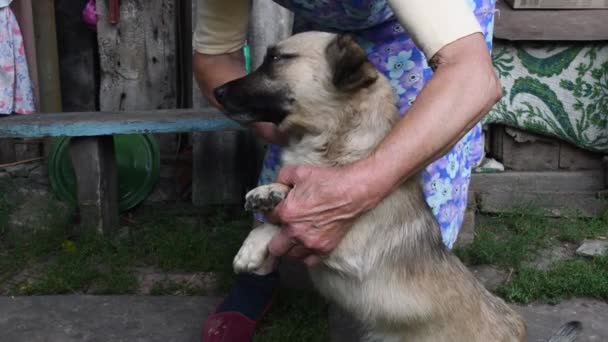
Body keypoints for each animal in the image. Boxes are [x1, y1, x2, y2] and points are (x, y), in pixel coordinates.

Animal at [213, 30, 580, 340]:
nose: (216, 92)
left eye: (276, 59)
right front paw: (262, 218)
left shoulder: (342, 240)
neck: (335, 143)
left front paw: (265, 213)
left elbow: (282, 221)